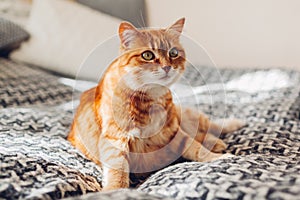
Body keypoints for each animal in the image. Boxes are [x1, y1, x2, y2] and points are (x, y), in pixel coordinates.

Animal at [68, 18, 244, 191]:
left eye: (173, 53)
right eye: (147, 55)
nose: (167, 67)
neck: (150, 101)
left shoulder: (173, 132)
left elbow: (195, 147)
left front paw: (217, 158)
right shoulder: (116, 139)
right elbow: (118, 169)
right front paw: (115, 190)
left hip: (188, 116)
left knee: (210, 126)